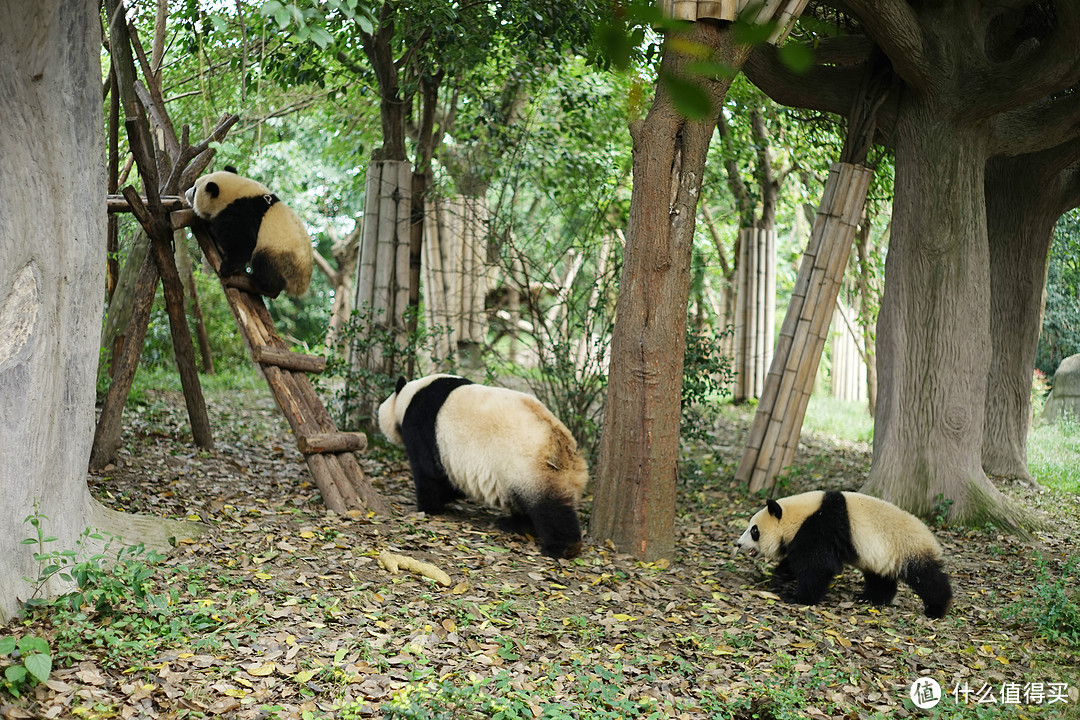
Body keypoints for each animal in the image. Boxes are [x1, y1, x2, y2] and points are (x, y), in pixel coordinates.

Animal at [184, 167, 313, 297]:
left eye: (195, 190)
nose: (185, 193)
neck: (238, 191)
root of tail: (301, 285)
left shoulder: (240, 212)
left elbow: (242, 242)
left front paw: (227, 267)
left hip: (281, 254)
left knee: (265, 263)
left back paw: (261, 281)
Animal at [380, 375, 591, 561]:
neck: (411, 395)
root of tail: (561, 442)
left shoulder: (423, 428)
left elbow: (430, 474)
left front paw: (428, 508)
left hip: (527, 464)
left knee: (548, 507)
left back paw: (561, 548)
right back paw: (511, 524)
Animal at [734, 490, 954, 621]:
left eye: (754, 530)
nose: (738, 544)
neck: (798, 516)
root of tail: (932, 539)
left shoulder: (820, 527)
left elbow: (817, 566)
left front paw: (797, 597)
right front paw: (778, 578)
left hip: (908, 548)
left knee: (927, 578)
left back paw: (937, 609)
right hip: (882, 556)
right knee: (880, 578)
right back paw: (870, 599)